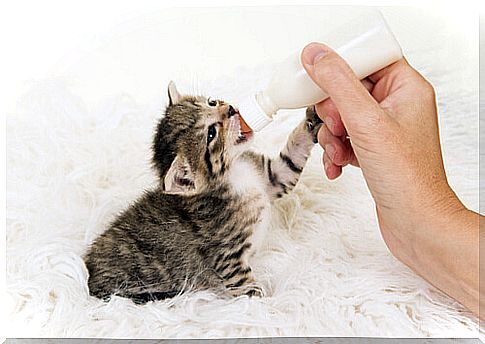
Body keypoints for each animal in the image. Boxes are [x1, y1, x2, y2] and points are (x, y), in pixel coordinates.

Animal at [84, 82, 322, 302]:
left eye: (212, 102)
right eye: (211, 134)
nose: (231, 109)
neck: (235, 173)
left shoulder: (273, 178)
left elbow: (292, 157)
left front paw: (312, 121)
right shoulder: (227, 258)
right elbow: (246, 287)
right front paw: (265, 306)